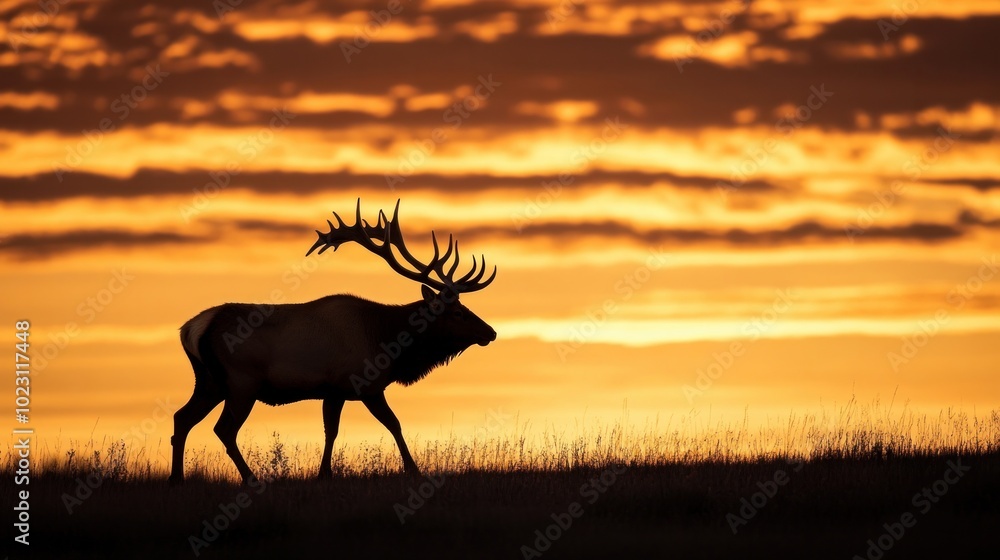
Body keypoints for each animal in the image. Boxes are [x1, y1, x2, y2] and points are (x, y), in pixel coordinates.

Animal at [169, 201, 497, 484]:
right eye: (457, 312)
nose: (491, 332)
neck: (386, 341)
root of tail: (191, 329)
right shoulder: (361, 384)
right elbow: (390, 424)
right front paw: (413, 470)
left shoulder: (333, 390)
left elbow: (331, 430)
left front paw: (324, 473)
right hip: (241, 382)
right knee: (223, 429)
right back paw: (250, 478)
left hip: (210, 382)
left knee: (182, 418)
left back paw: (177, 479)